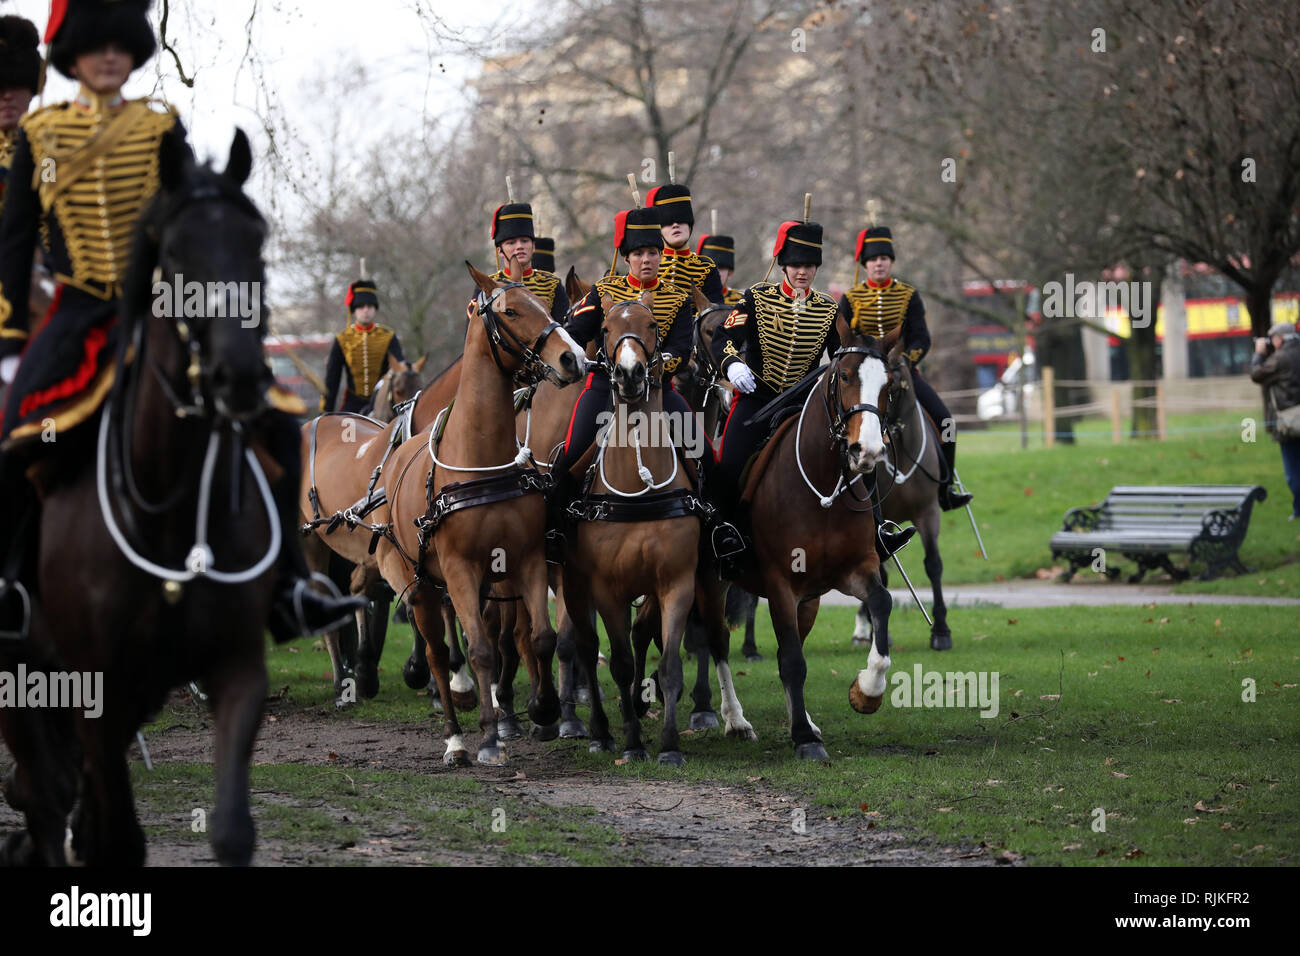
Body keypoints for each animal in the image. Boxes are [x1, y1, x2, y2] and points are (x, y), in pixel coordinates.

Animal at [0, 128, 276, 868]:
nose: (238, 375)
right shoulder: (97, 690)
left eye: (257, 242)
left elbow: (231, 830)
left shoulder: (235, 667)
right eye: (175, 253)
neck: (167, 513)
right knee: (46, 795)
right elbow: (112, 835)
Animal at [374, 261, 582, 764]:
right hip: (421, 587)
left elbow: (540, 638)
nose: (572, 359)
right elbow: (483, 651)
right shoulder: (459, 570)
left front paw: (545, 710)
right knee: (437, 651)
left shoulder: (527, 560)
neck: (482, 460)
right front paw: (488, 736)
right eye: (510, 311)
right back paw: (455, 736)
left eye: (546, 305)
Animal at [728, 325, 909, 759]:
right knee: (707, 641)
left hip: (807, 599)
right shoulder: (779, 583)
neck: (821, 482)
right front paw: (805, 740)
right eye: (842, 376)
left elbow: (882, 603)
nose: (868, 450)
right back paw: (731, 719)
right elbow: (793, 661)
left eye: (888, 385)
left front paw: (867, 691)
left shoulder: (854, 569)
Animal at [852, 356, 956, 655]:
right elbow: (879, 574)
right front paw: (878, 634)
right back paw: (863, 629)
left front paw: (941, 630)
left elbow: (933, 564)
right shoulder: (878, 521)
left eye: (892, 389)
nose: (873, 443)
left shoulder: (928, 513)